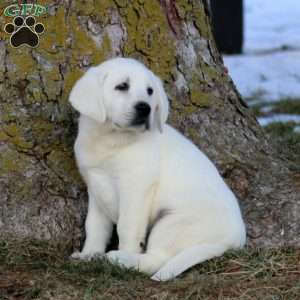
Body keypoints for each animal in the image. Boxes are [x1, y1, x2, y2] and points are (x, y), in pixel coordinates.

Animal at [70, 58, 246, 282]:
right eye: (122, 86)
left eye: (149, 91)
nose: (144, 108)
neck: (111, 140)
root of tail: (233, 241)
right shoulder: (95, 187)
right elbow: (95, 226)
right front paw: (89, 254)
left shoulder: (135, 188)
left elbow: (127, 227)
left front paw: (124, 253)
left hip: (172, 224)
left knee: (157, 259)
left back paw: (122, 259)